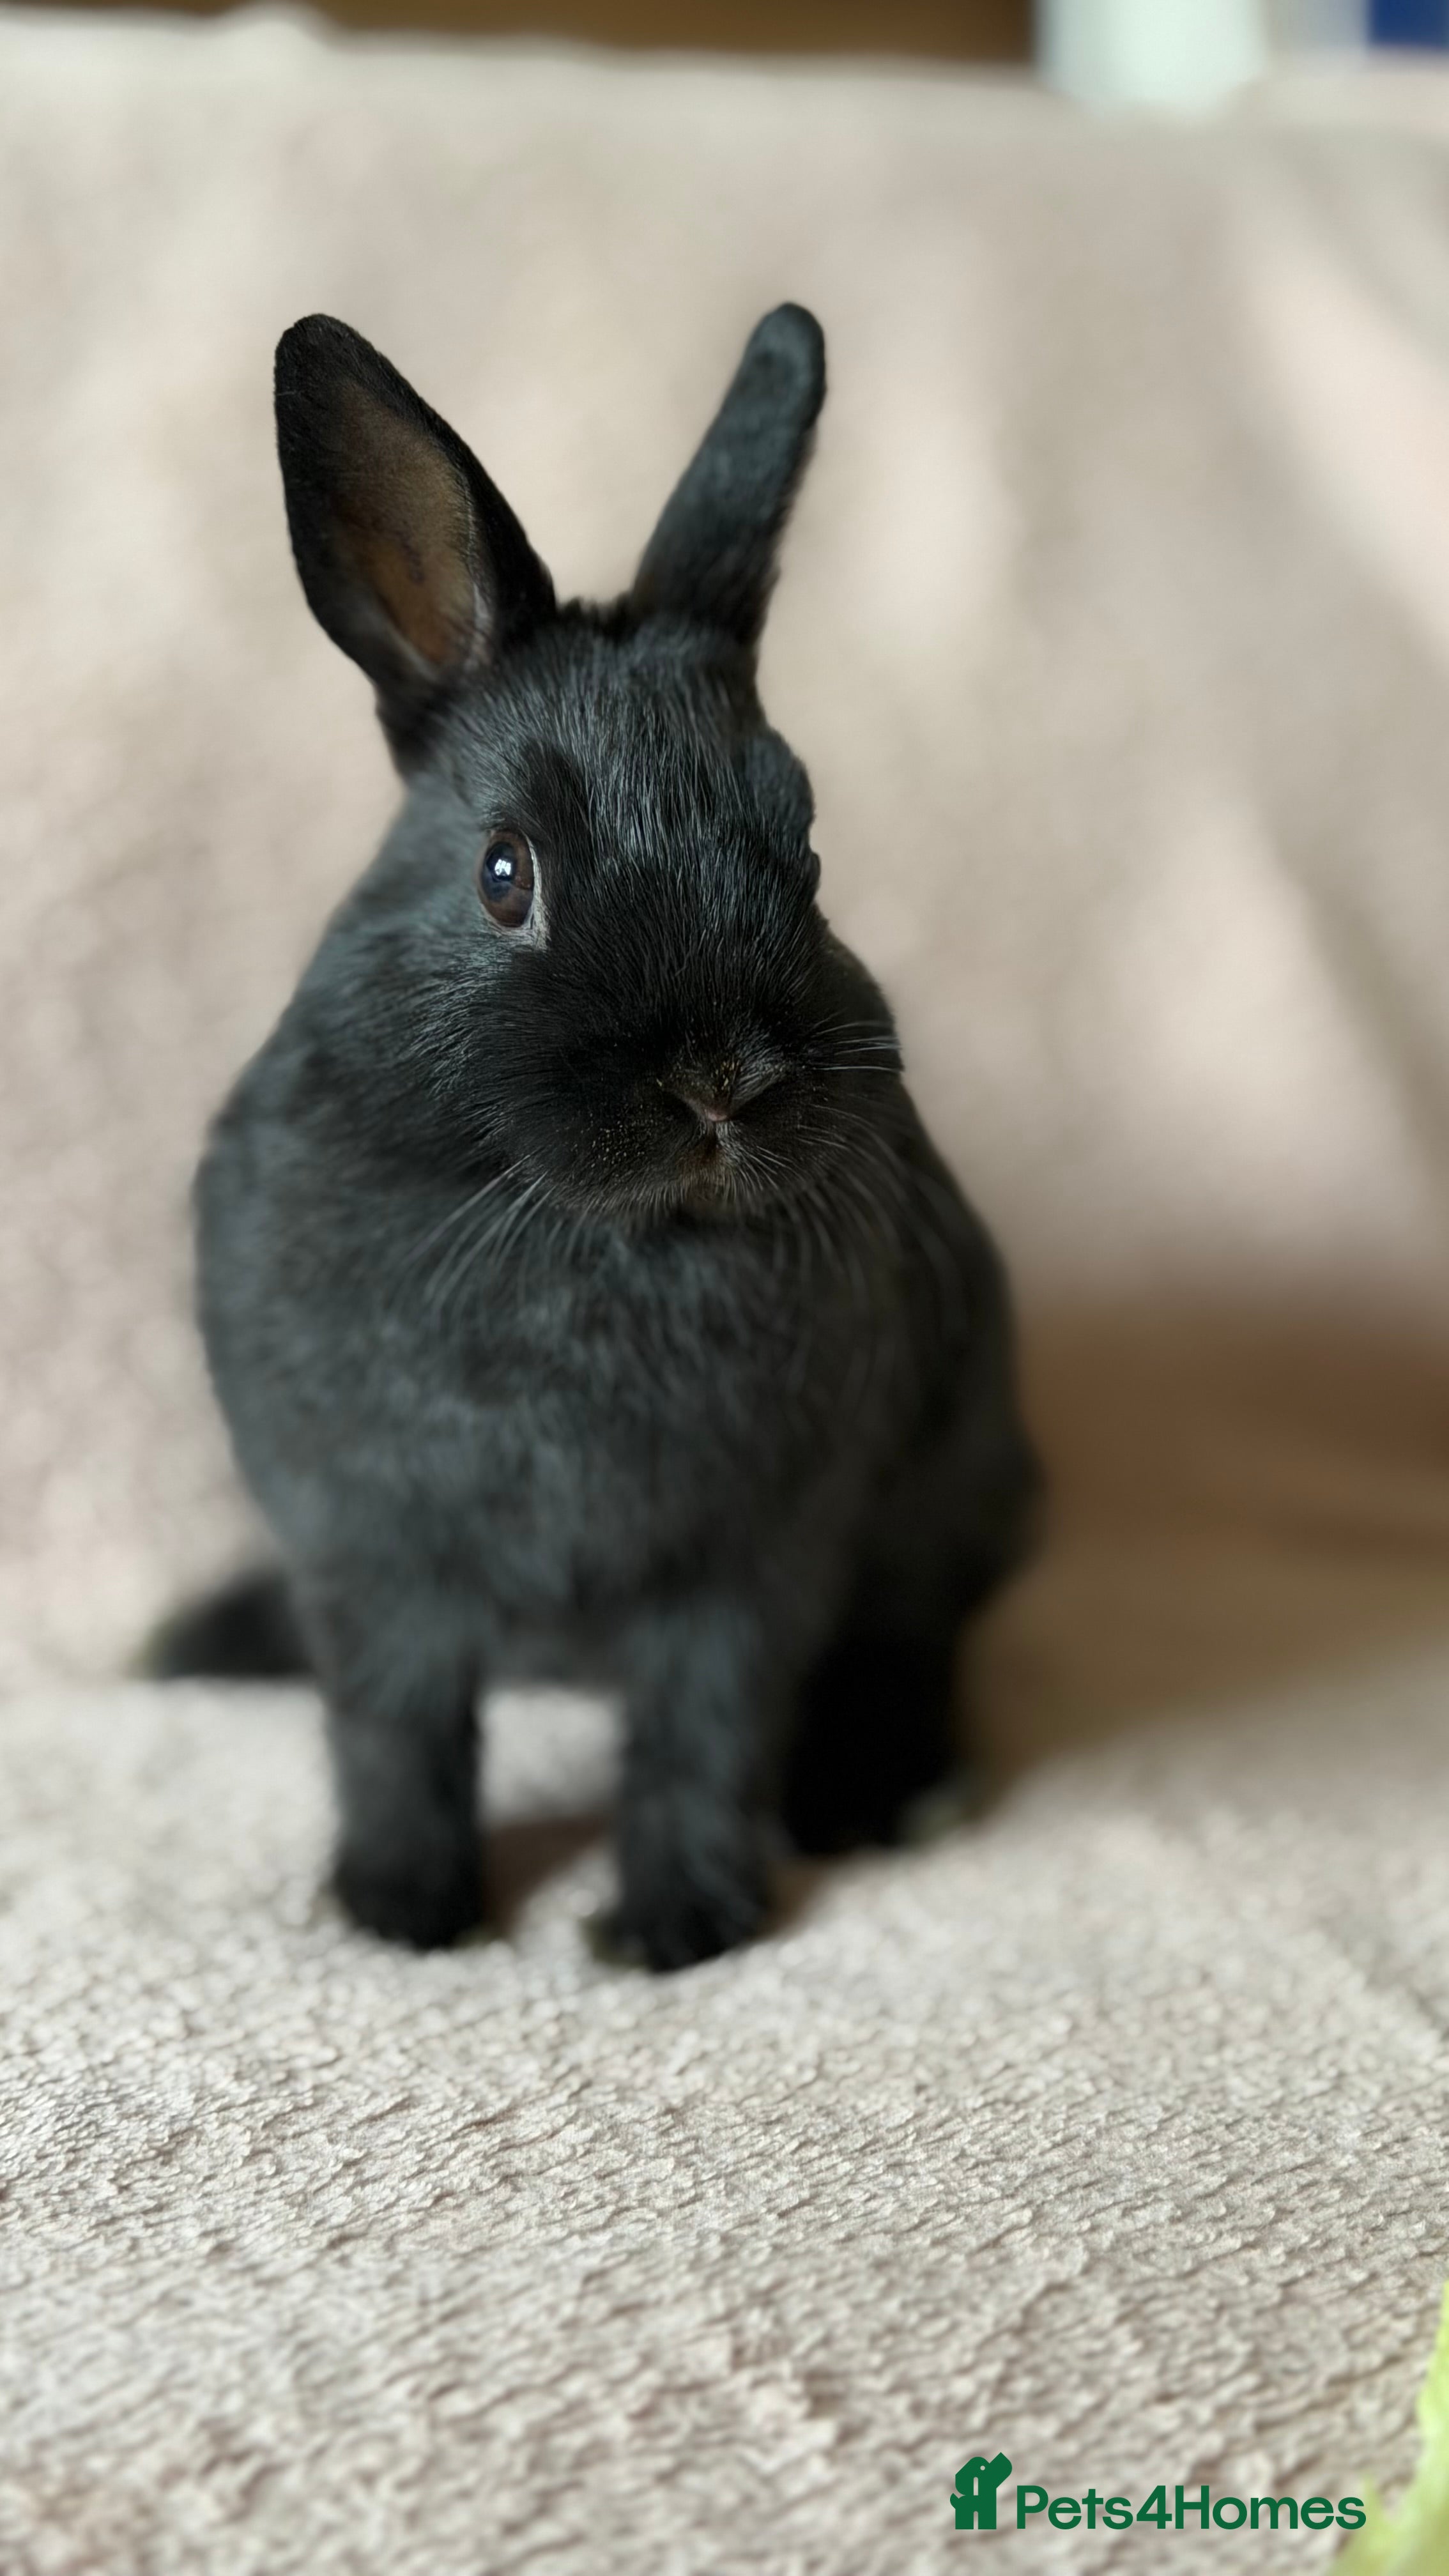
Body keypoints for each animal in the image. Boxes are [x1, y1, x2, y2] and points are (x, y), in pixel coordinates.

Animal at [167, 303, 1040, 1970]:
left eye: (806, 848)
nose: (721, 1080)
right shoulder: (376, 1562)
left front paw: (674, 1927)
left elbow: (704, 1733)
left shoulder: (750, 1564)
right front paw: (401, 1913)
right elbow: (393, 1733)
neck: (594, 1237)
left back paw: (882, 1794)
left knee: (914, 1641)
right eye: (506, 874)